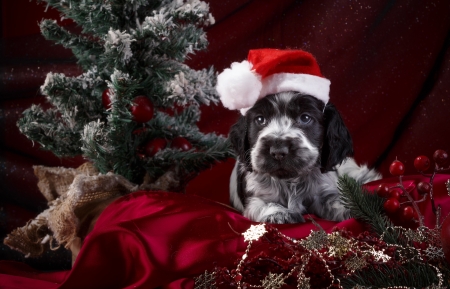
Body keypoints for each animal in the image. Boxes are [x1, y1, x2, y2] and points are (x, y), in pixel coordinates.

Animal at [229, 90, 380, 223]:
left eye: (305, 118)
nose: (278, 151)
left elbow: (336, 200)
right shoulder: (254, 196)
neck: (290, 179)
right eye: (260, 119)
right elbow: (264, 204)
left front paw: (358, 208)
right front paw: (279, 214)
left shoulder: (323, 191)